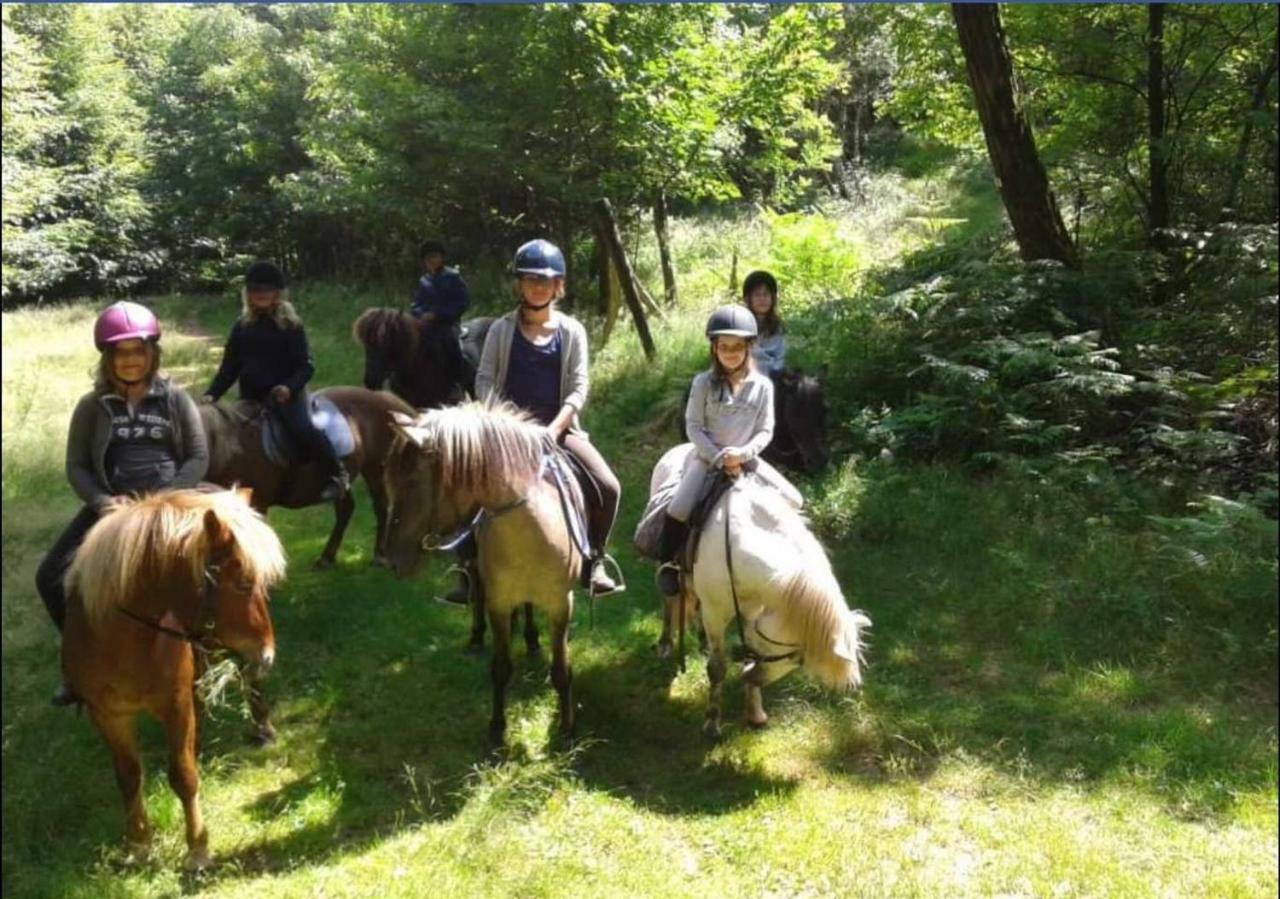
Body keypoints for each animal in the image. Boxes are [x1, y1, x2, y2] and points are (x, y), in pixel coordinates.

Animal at [198, 386, 414, 571]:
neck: (232, 450)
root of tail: (381, 397)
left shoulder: (257, 504)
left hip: (376, 467)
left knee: (381, 506)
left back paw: (379, 556)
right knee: (346, 509)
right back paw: (327, 558)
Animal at [650, 445, 870, 737]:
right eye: (797, 658)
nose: (751, 677)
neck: (739, 542)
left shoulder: (753, 610)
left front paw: (755, 713)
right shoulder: (716, 613)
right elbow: (717, 668)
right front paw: (712, 722)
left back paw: (701, 640)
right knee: (670, 599)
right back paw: (665, 643)